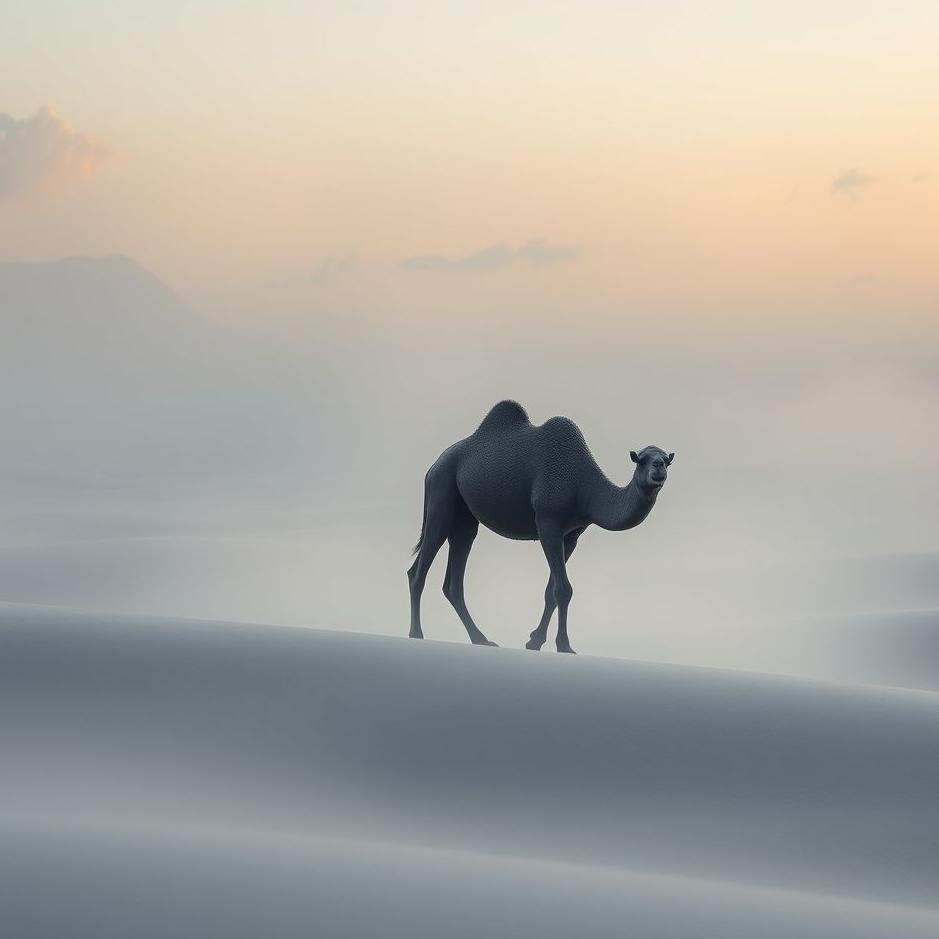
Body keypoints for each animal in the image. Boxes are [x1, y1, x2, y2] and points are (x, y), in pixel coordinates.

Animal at [407, 400, 673, 653]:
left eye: (666, 460)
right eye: (642, 460)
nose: (658, 467)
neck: (584, 487)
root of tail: (432, 466)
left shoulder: (572, 535)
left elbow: (551, 591)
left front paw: (535, 641)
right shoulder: (548, 522)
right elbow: (563, 589)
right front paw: (564, 645)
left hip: (464, 516)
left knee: (454, 578)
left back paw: (481, 639)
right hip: (441, 489)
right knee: (419, 569)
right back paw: (416, 634)